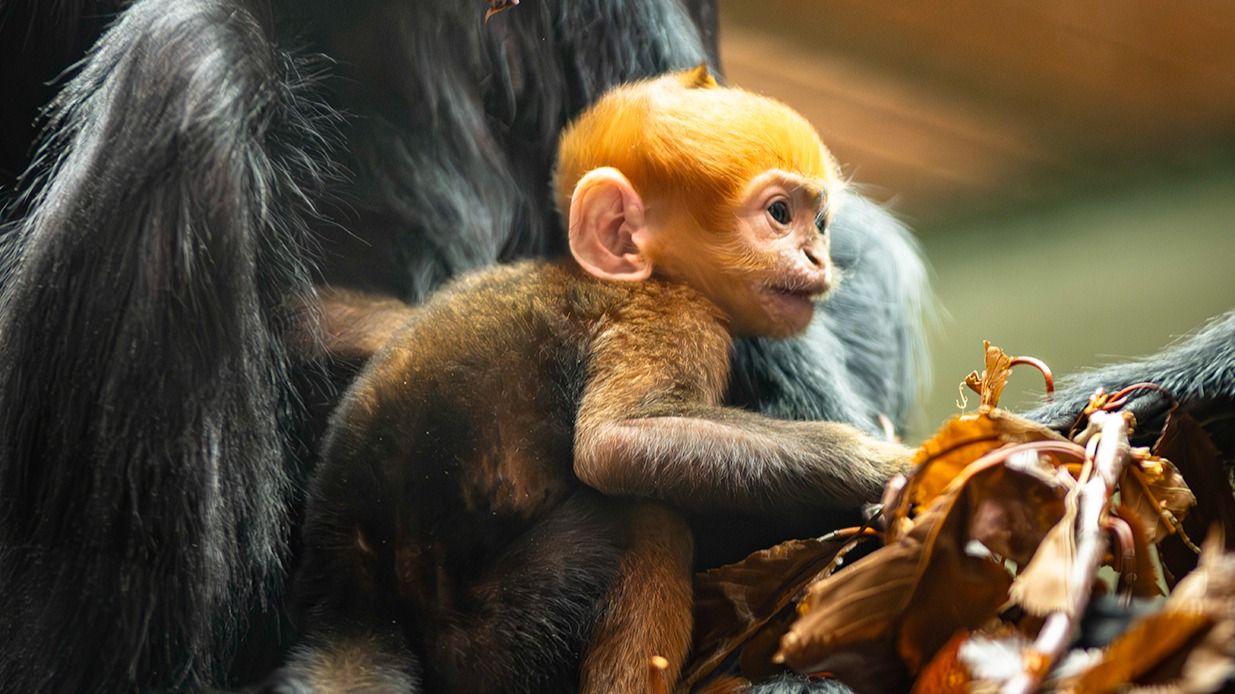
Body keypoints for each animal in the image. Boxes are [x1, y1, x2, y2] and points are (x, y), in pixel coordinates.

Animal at [282, 66, 913, 693]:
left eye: (820, 224)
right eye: (781, 215)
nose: (818, 257)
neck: (643, 276)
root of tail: (359, 598)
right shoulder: (672, 316)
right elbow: (613, 443)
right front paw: (889, 466)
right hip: (492, 638)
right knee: (645, 523)